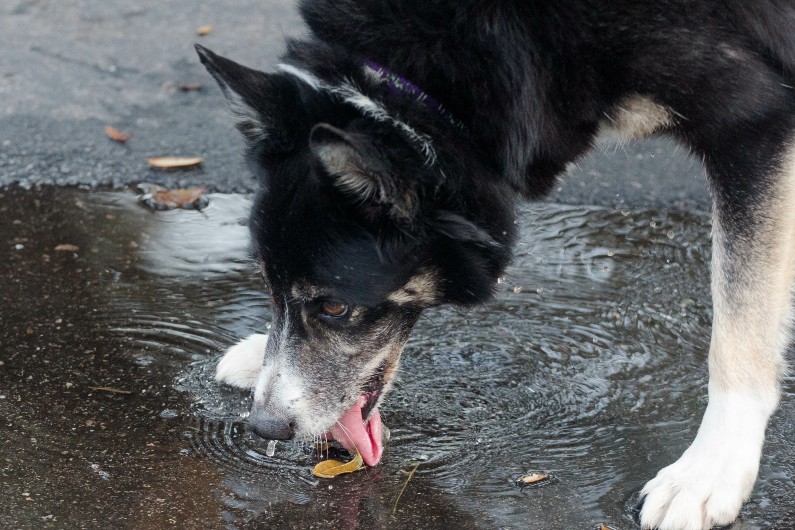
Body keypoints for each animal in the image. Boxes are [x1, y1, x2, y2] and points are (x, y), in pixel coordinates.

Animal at [194, 2, 795, 524]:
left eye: (336, 307)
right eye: (268, 285)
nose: (264, 427)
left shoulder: (755, 123)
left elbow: (738, 320)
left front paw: (710, 470)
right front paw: (257, 353)